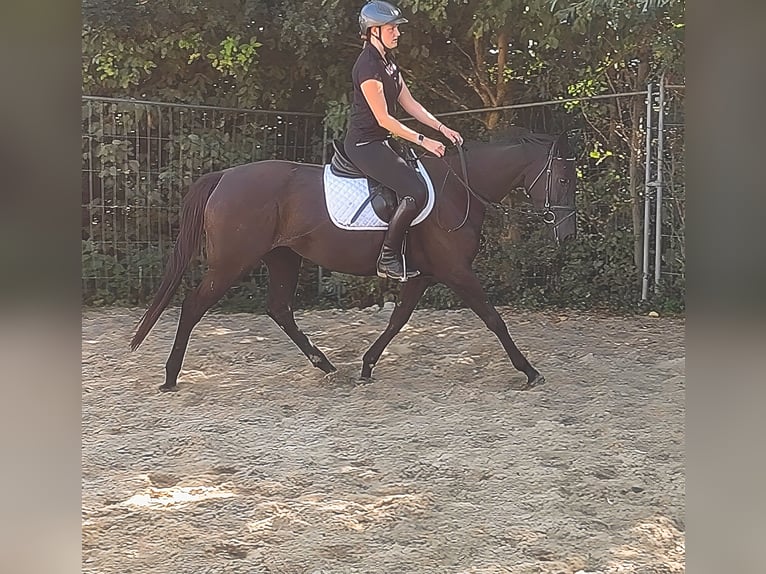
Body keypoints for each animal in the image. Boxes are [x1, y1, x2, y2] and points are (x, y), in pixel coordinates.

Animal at [130, 130, 577, 392]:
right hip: (231, 263)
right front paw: (529, 370)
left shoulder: (423, 276)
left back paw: (325, 364)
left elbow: (398, 320)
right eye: (563, 179)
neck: (458, 190)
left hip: (282, 259)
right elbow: (493, 318)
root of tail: (225, 176)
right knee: (193, 306)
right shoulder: (456, 271)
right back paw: (170, 377)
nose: (568, 234)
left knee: (279, 309)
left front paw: (365, 365)